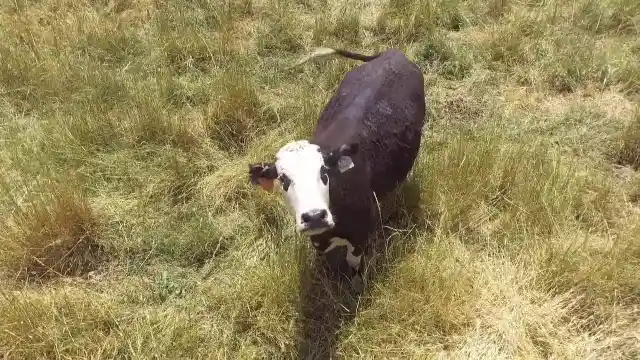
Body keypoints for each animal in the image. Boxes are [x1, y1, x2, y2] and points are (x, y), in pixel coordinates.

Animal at [249, 47, 424, 292]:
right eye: (283, 179)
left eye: (324, 172)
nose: (314, 216)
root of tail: (392, 53)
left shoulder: (361, 234)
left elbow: (354, 262)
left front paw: (357, 286)